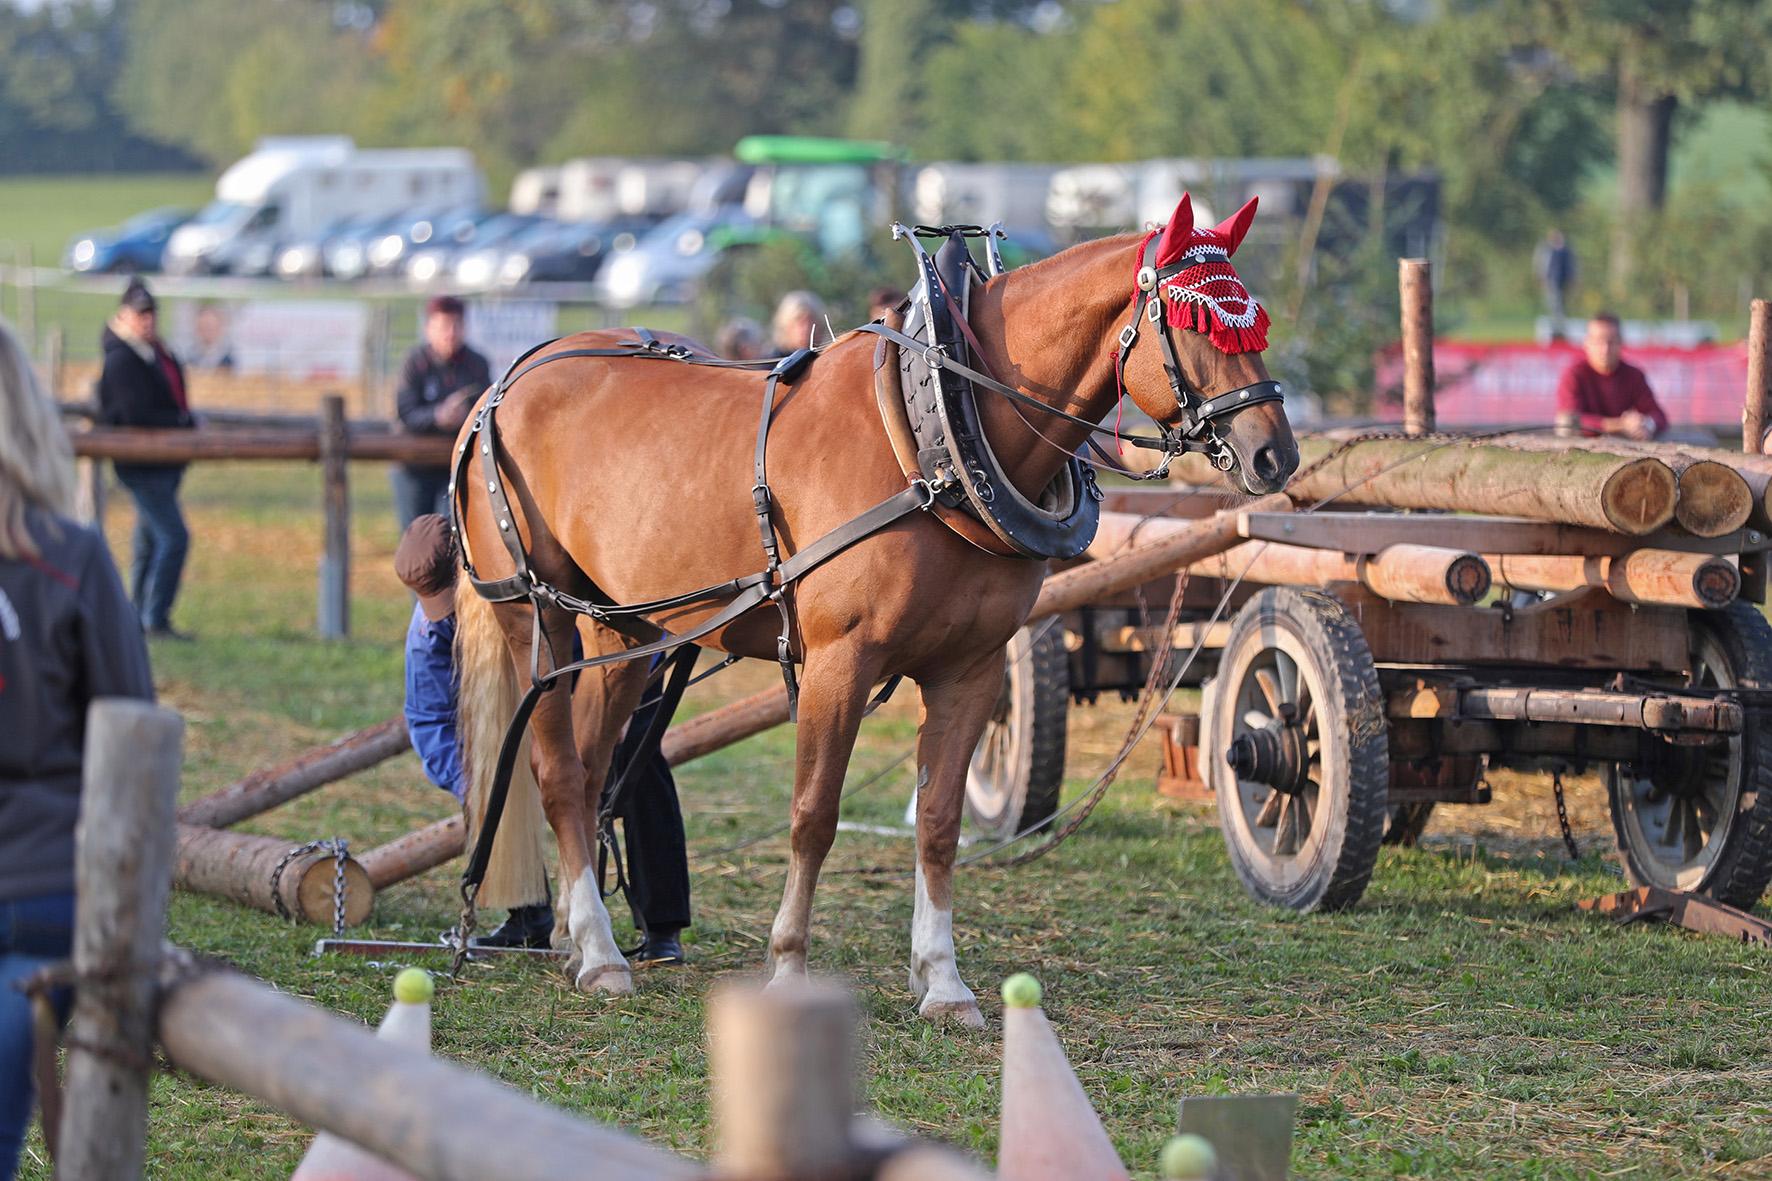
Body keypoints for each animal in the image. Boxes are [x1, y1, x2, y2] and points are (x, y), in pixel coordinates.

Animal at [450, 193, 1297, 1021]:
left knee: (594, 769)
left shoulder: (972, 668)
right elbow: (814, 814)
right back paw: (599, 955)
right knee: (560, 772)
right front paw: (789, 965)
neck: (939, 442)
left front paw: (943, 979)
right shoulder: (839, 661)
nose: (1275, 455)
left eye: (1254, 318)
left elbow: (940, 821)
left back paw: (576, 934)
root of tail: (503, 387)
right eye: (1197, 323)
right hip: (538, 616)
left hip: (625, 624)